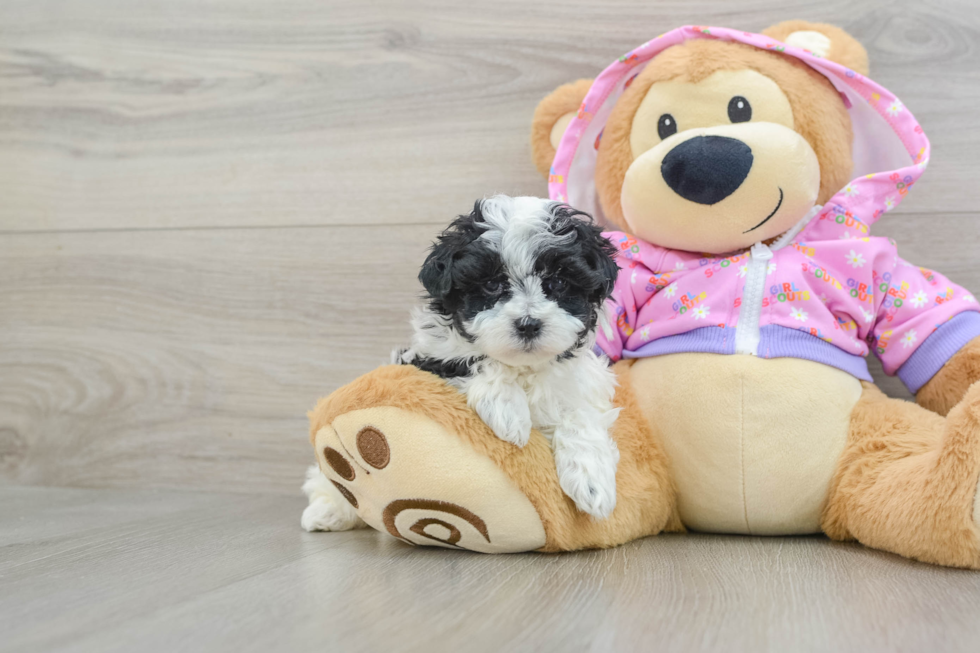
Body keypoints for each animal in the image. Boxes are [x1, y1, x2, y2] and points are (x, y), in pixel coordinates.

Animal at [396, 196, 620, 516]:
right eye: (491, 285)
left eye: (559, 283)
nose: (528, 324)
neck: (524, 367)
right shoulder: (429, 358)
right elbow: (474, 360)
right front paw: (508, 410)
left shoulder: (583, 383)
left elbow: (580, 413)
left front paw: (592, 482)